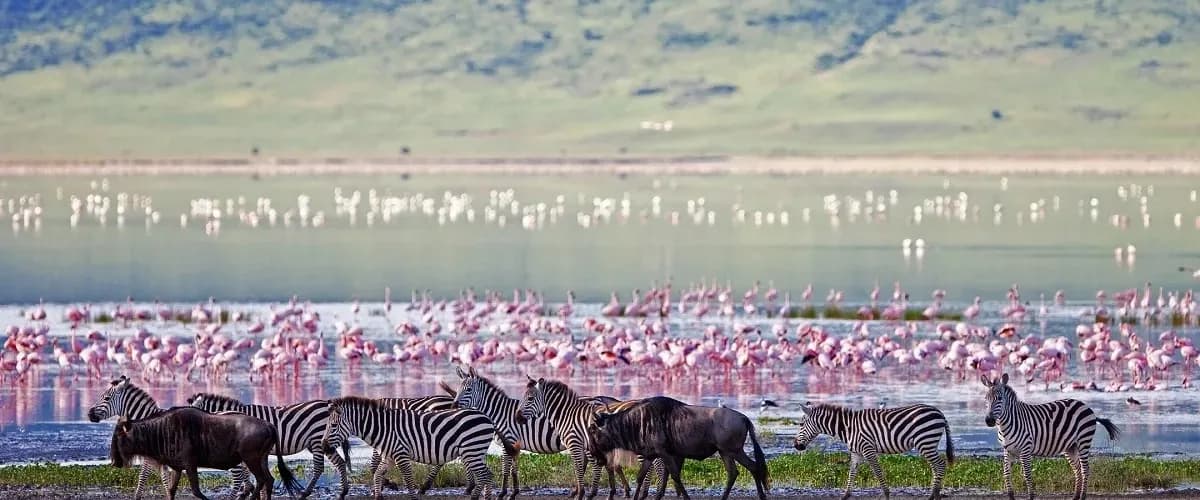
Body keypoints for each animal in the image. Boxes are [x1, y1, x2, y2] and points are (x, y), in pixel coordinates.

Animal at [187, 392, 352, 499]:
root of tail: (327, 404)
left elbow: (243, 475)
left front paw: (248, 492)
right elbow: (250, 476)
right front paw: (253, 492)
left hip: (318, 440)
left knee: (319, 468)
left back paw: (305, 493)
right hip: (323, 443)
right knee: (340, 463)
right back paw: (343, 492)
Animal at [320, 395, 502, 500]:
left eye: (333, 426)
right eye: (327, 426)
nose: (323, 447)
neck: (383, 427)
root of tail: (485, 416)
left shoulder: (401, 454)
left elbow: (408, 480)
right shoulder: (389, 456)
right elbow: (377, 475)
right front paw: (379, 495)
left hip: (471, 450)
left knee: (485, 475)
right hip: (475, 451)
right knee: (488, 475)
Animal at [793, 402, 955, 500]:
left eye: (800, 424)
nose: (795, 445)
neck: (848, 428)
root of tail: (939, 412)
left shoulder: (868, 450)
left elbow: (878, 472)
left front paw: (887, 495)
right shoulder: (856, 453)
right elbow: (852, 473)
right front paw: (845, 496)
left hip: (925, 441)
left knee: (940, 465)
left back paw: (932, 496)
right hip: (928, 444)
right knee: (936, 467)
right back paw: (935, 495)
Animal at [982, 373, 1121, 500]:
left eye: (1000, 398)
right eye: (986, 399)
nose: (989, 421)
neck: (1006, 425)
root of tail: (1085, 406)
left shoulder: (1025, 450)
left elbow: (1027, 474)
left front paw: (1031, 496)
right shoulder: (1007, 450)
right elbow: (1006, 473)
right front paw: (1011, 496)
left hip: (1084, 441)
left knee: (1085, 469)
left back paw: (1082, 496)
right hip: (1070, 447)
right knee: (1077, 469)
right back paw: (1075, 496)